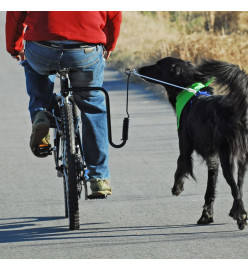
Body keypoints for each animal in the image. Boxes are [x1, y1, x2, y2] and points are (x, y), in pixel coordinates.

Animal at [139, 57, 247, 230]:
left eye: (158, 64)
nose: (139, 69)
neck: (190, 91)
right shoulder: (213, 158)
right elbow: (210, 190)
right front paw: (206, 216)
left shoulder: (185, 146)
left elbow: (180, 165)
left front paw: (177, 188)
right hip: (242, 158)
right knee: (240, 185)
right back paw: (236, 212)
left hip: (227, 157)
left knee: (235, 188)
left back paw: (241, 217)